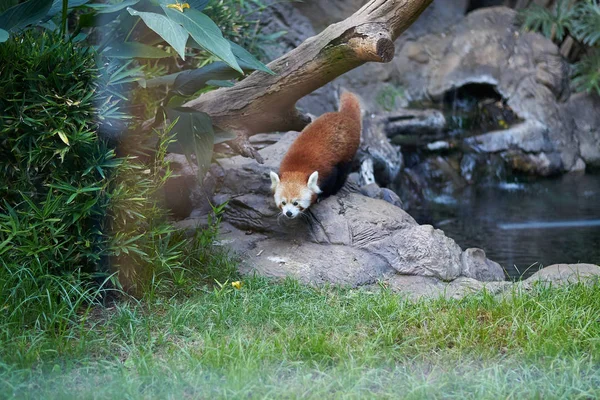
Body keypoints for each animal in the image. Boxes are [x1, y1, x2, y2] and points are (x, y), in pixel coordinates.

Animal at [270, 91, 360, 219]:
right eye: (283, 202)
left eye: (296, 203)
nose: (288, 213)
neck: (297, 168)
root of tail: (344, 115)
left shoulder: (327, 169)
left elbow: (332, 178)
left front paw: (323, 195)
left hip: (348, 151)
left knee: (343, 173)